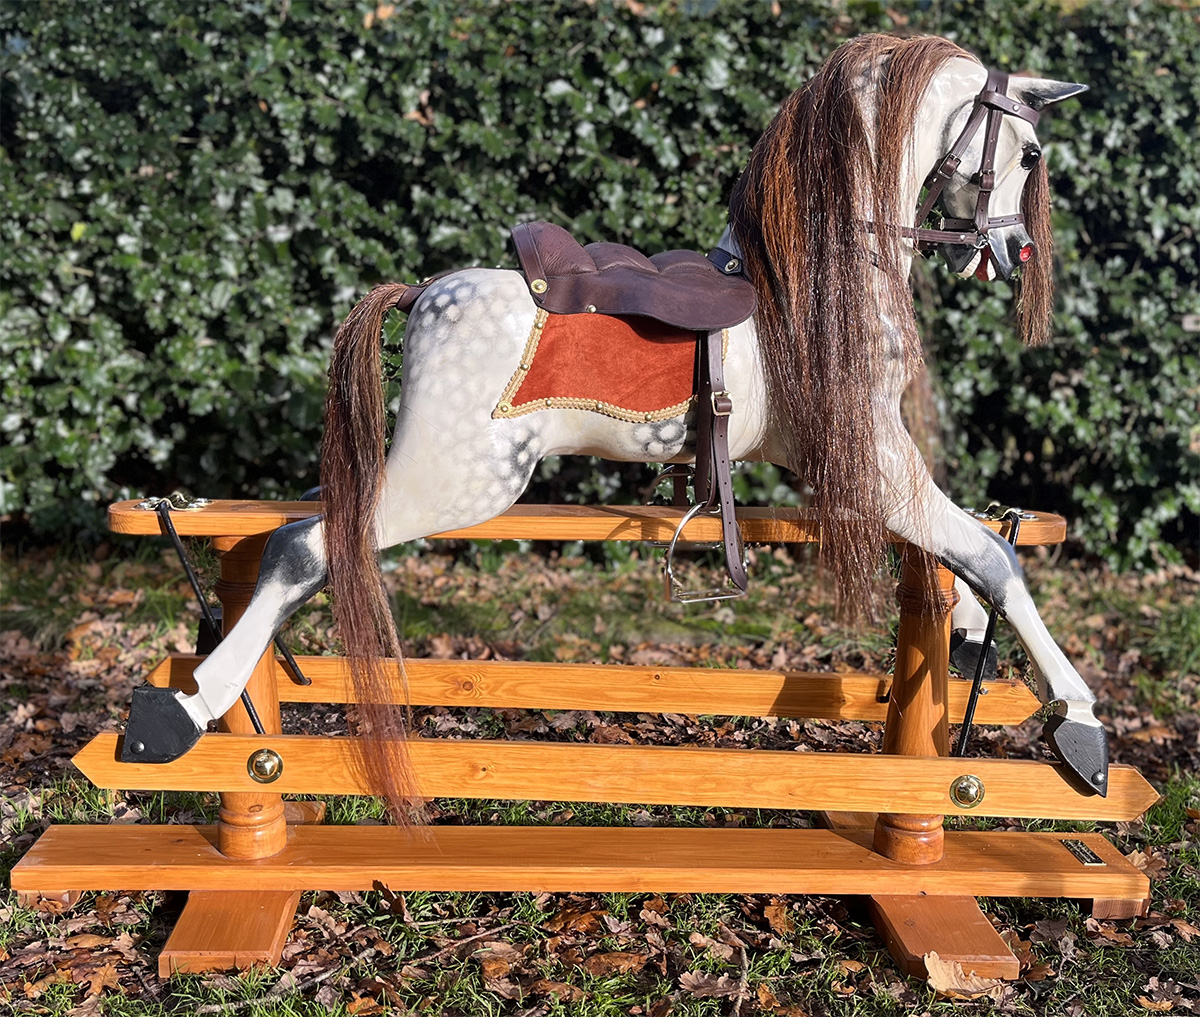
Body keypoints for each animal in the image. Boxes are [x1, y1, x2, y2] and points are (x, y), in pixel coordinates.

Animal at [123, 34, 1106, 815]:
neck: (818, 281)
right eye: (1026, 151)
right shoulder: (874, 460)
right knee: (304, 546)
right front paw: (1081, 725)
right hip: (456, 482)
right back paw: (178, 712)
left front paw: (974, 639)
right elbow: (995, 554)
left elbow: (970, 551)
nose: (1014, 248)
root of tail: (422, 296)